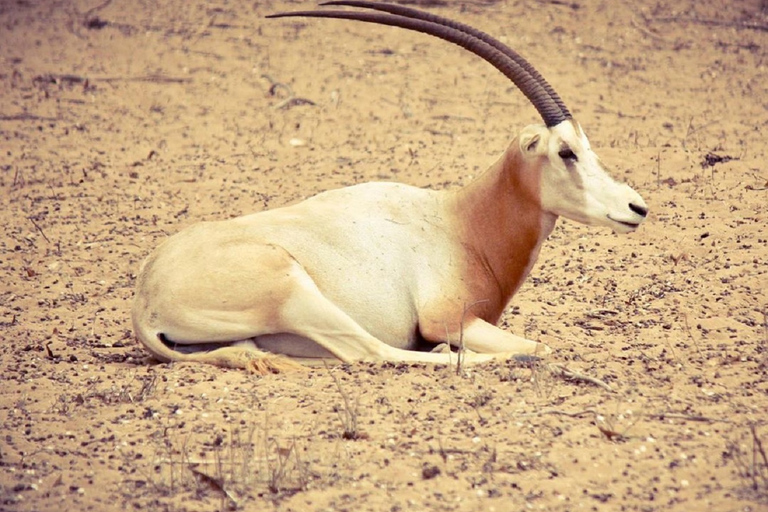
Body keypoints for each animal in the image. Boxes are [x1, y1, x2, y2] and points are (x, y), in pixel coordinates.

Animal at [130, 2, 648, 374]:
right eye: (566, 152)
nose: (636, 207)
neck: (460, 221)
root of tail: (146, 300)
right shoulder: (449, 317)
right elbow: (539, 344)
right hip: (294, 292)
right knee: (368, 350)